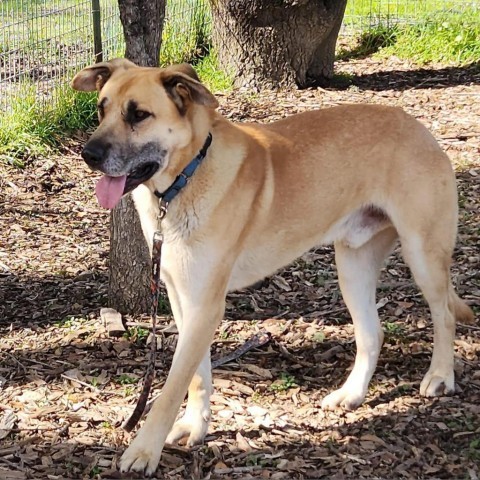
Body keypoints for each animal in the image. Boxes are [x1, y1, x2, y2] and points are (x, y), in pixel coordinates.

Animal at [71, 61, 472, 476]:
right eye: (102, 108)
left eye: (138, 115)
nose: (89, 154)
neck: (186, 177)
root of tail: (414, 124)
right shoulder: (183, 299)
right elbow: (197, 374)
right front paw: (195, 425)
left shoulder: (206, 305)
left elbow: (171, 387)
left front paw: (144, 450)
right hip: (353, 266)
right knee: (372, 333)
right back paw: (352, 393)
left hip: (422, 255)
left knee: (444, 314)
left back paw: (440, 376)